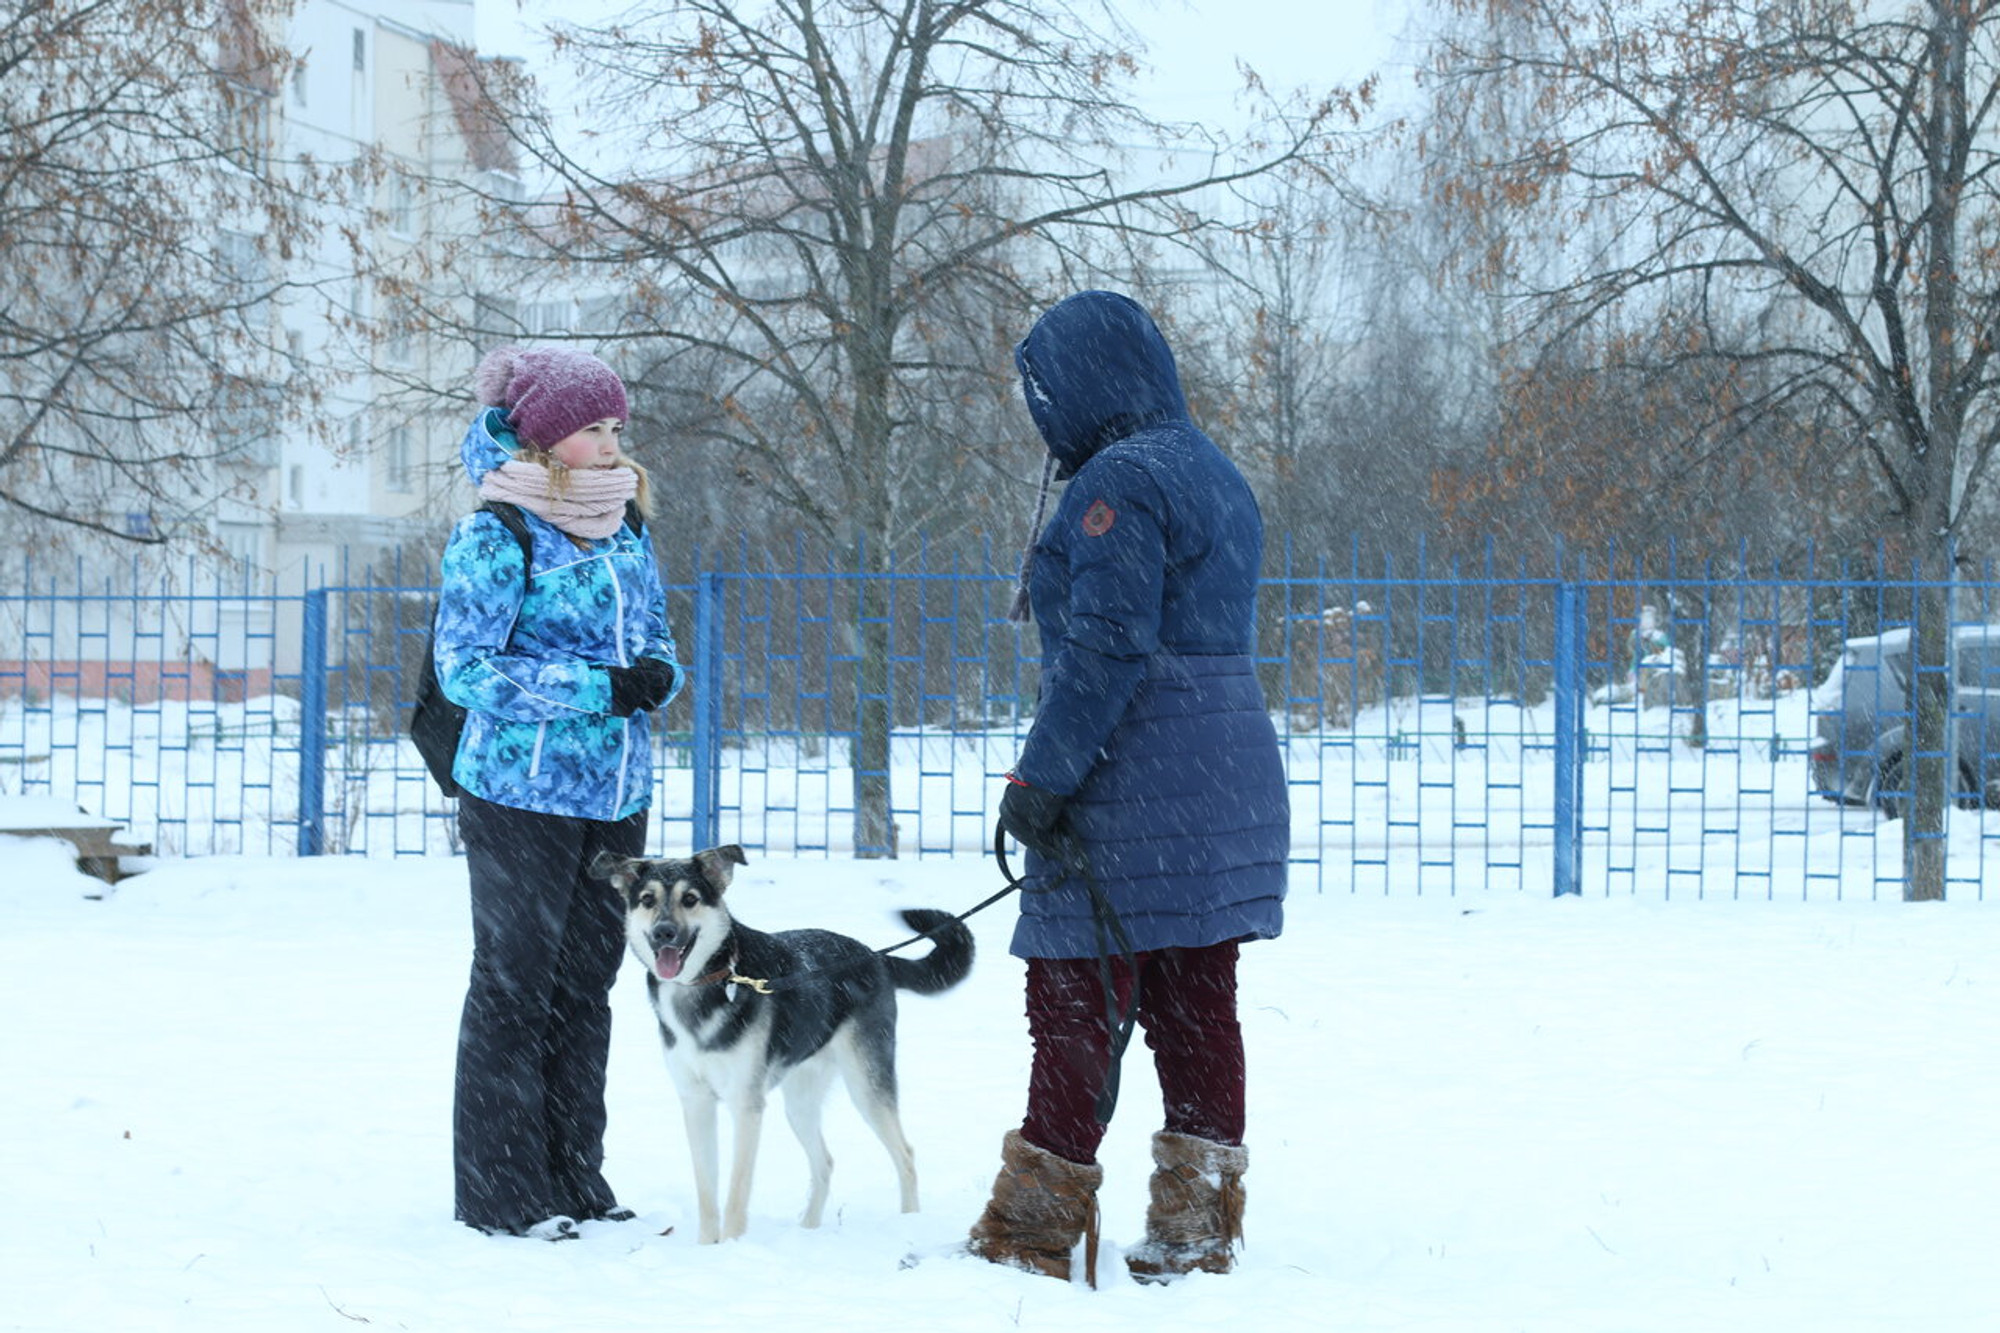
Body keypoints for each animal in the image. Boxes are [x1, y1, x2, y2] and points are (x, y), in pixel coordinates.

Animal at [584, 844, 976, 1240]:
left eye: (690, 899)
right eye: (647, 899)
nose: (664, 932)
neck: (712, 980)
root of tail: (874, 957)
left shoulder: (746, 1104)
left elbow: (736, 1194)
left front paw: (731, 1246)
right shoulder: (696, 1102)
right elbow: (707, 1193)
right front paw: (708, 1247)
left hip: (866, 1083)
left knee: (905, 1156)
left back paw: (909, 1222)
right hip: (800, 1101)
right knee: (825, 1162)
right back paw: (808, 1231)